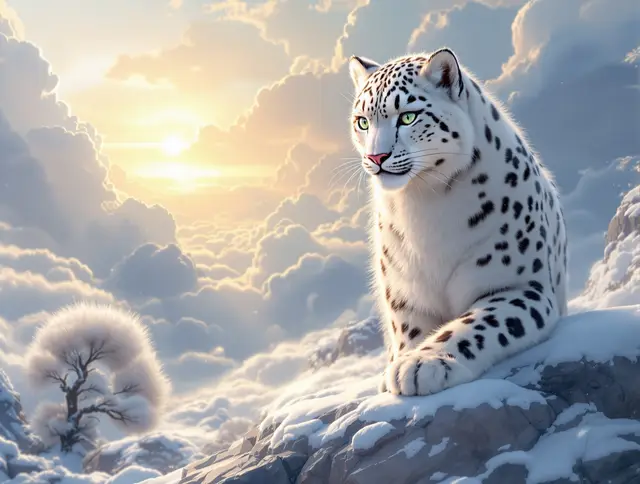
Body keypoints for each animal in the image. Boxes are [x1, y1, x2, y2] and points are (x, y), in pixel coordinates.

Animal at [348, 48, 568, 396]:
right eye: (362, 122)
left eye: (408, 116)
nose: (375, 158)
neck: (423, 203)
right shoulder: (407, 299)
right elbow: (409, 335)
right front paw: (402, 365)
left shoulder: (517, 284)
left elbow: (476, 323)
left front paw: (419, 365)